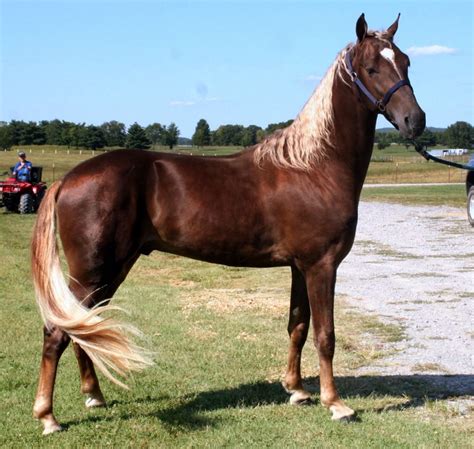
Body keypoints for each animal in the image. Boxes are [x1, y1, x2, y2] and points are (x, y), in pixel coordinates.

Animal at [32, 14, 426, 434]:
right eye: (371, 67)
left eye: (406, 62)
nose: (415, 121)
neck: (314, 166)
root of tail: (67, 179)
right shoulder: (321, 266)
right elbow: (325, 334)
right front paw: (335, 403)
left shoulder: (299, 267)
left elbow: (298, 326)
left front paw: (297, 390)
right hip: (93, 271)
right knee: (58, 331)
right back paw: (48, 416)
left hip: (110, 271)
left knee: (83, 328)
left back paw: (94, 396)